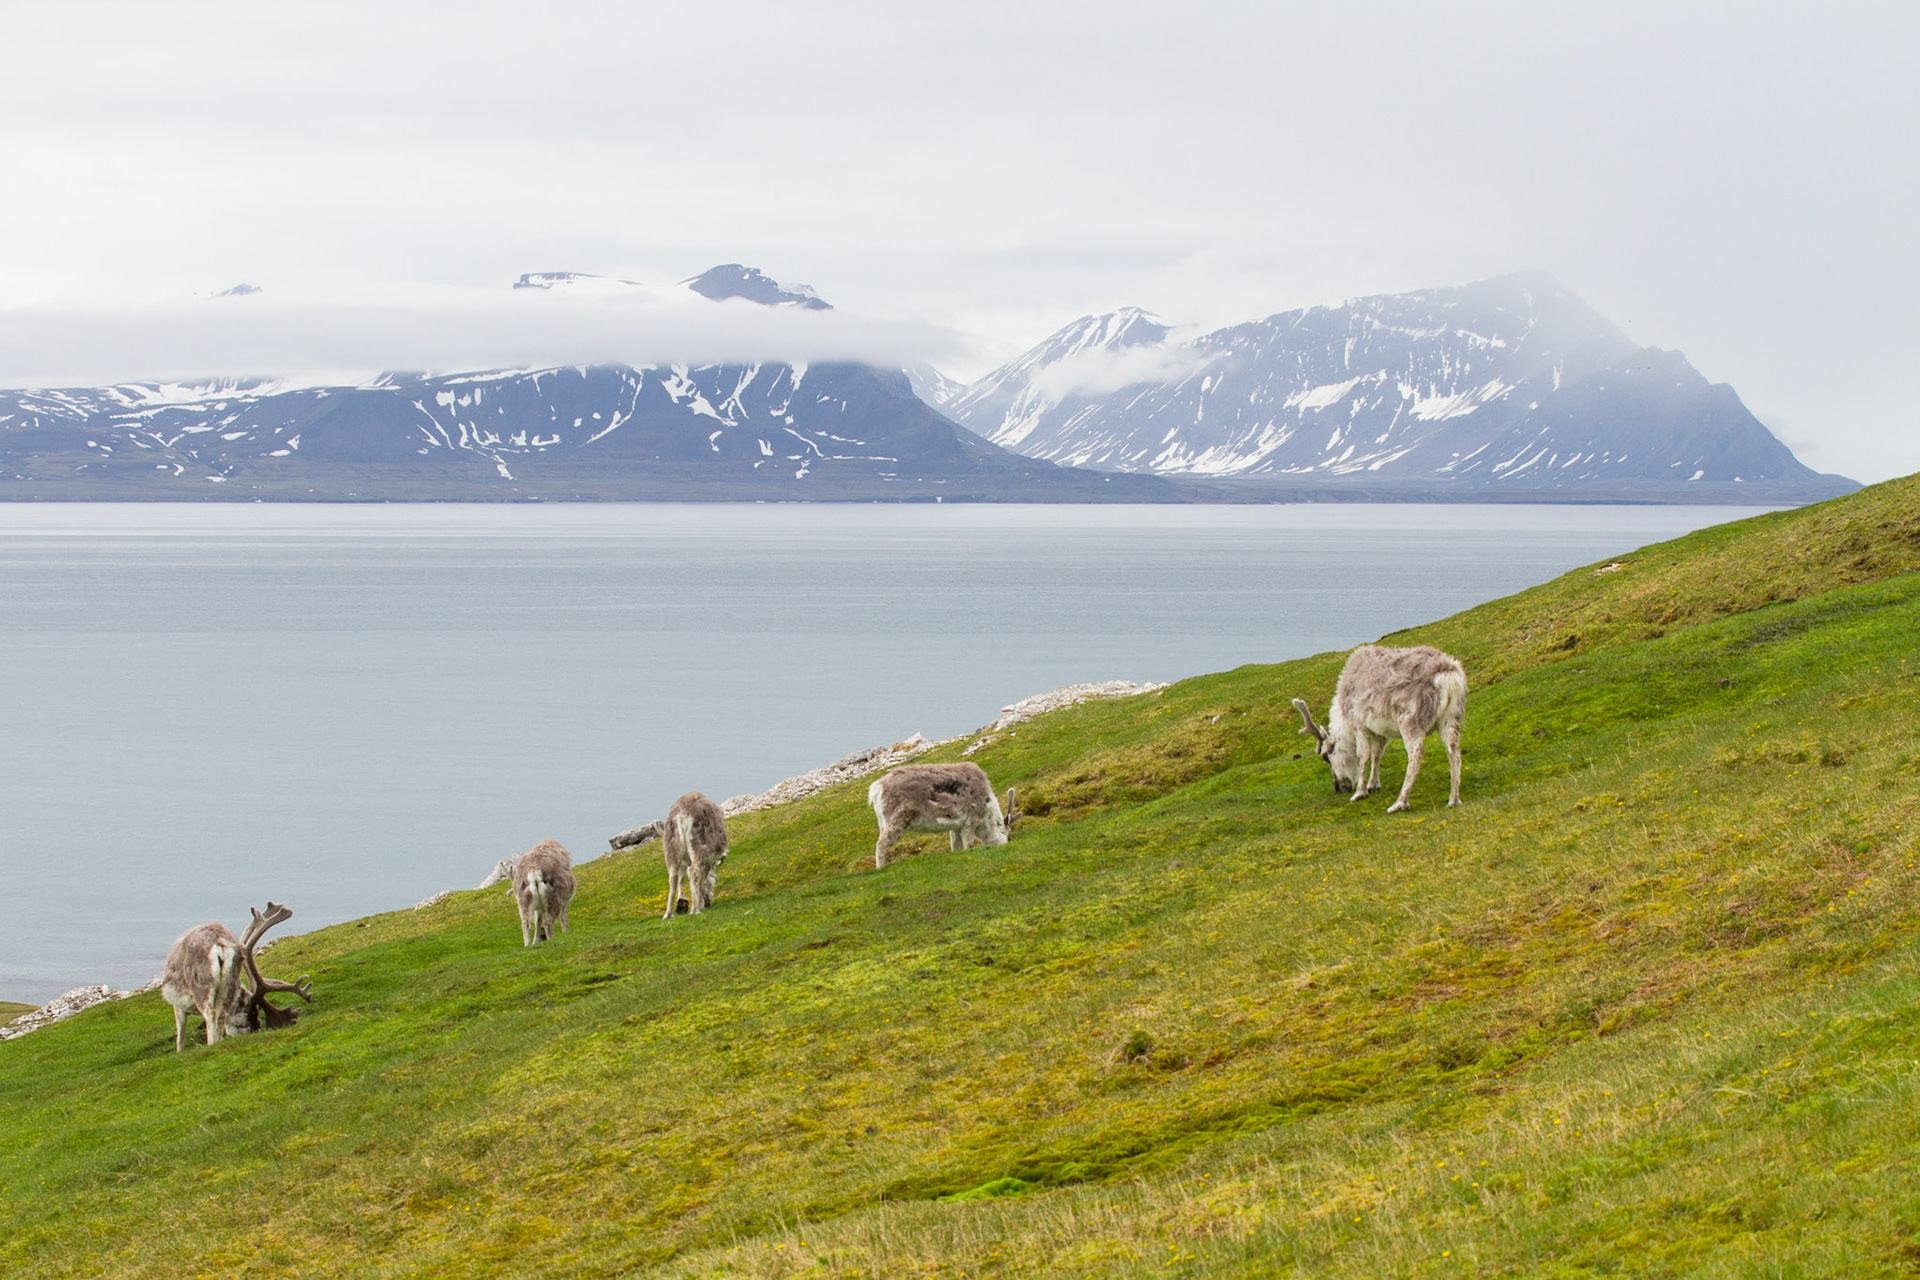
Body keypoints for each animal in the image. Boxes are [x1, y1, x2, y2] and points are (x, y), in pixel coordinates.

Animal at [160, 902, 312, 1052]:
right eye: (254, 1012)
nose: (256, 1028)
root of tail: (219, 942)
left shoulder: (177, 1006)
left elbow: (180, 1037)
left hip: (202, 986)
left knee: (210, 1014)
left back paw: (211, 1044)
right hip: (229, 983)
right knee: (221, 1015)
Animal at [869, 762, 1016, 869]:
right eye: (1008, 835)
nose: (1005, 845)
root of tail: (876, 788)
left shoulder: (957, 826)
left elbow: (955, 845)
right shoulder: (971, 819)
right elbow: (968, 844)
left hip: (882, 823)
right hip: (897, 820)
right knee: (881, 843)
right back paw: (881, 868)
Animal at [1293, 644, 1467, 812]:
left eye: (1326, 757)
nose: (1338, 788)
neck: (1344, 719)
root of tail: (1448, 676)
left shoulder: (1359, 725)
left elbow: (1363, 756)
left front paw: (1359, 793)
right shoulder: (1380, 732)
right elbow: (1377, 754)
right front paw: (1373, 785)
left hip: (1410, 720)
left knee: (1416, 753)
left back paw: (1400, 803)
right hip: (1451, 717)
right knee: (1453, 750)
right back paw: (1453, 799)